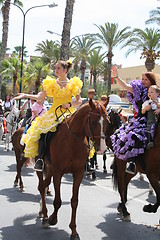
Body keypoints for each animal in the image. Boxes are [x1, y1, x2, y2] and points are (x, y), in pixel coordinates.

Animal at [36, 98, 110, 239]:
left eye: (108, 121)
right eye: (94, 122)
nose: (103, 149)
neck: (72, 141)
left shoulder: (78, 173)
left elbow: (74, 201)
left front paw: (74, 231)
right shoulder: (58, 172)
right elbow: (58, 201)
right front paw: (53, 219)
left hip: (50, 169)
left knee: (44, 185)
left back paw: (43, 213)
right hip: (43, 168)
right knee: (42, 187)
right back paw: (45, 216)